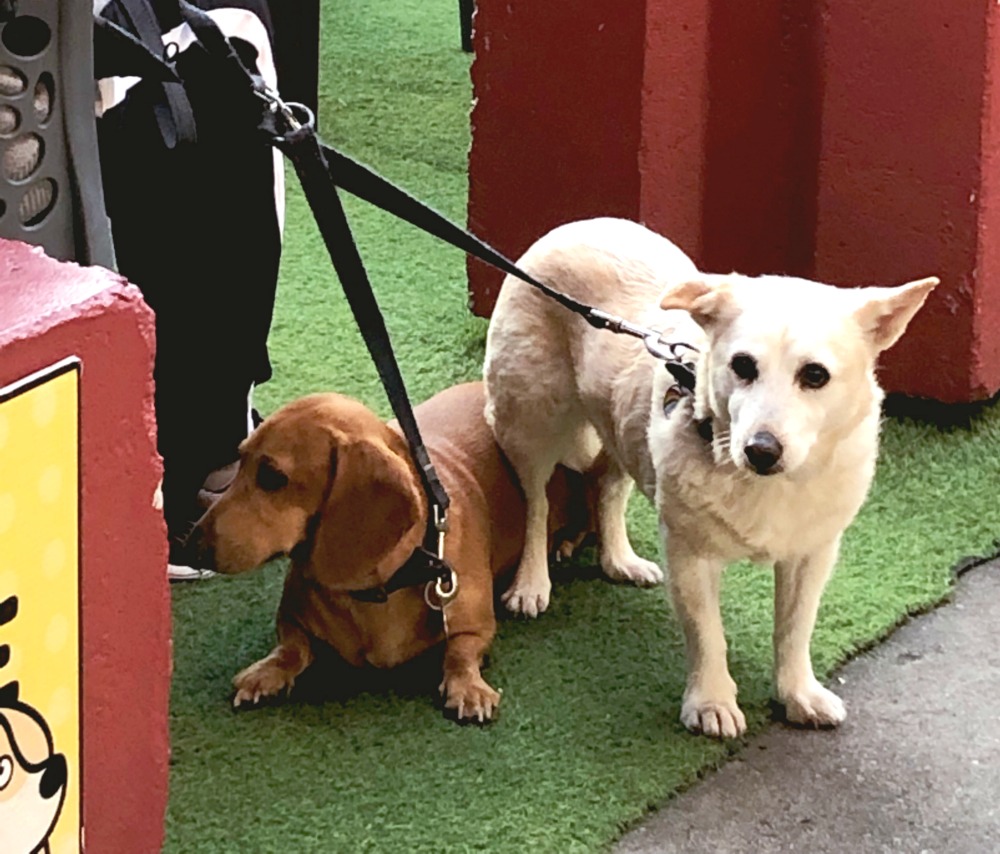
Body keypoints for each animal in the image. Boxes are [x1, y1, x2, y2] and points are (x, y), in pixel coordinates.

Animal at [189, 382, 592, 724]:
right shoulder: (291, 618)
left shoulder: (475, 624)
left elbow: (460, 652)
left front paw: (467, 688)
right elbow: (291, 646)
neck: (375, 588)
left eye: (272, 476)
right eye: (239, 460)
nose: (191, 546)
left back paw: (566, 543)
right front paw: (266, 674)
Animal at [484, 217, 936, 740]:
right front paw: (711, 702)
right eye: (742, 365)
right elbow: (709, 635)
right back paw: (531, 583)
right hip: (530, 421)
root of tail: (576, 224)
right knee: (535, 505)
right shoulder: (690, 556)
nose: (761, 450)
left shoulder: (812, 554)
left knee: (607, 488)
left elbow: (795, 626)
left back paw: (619, 560)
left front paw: (797, 692)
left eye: (816, 375)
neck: (766, 485)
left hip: (620, 424)